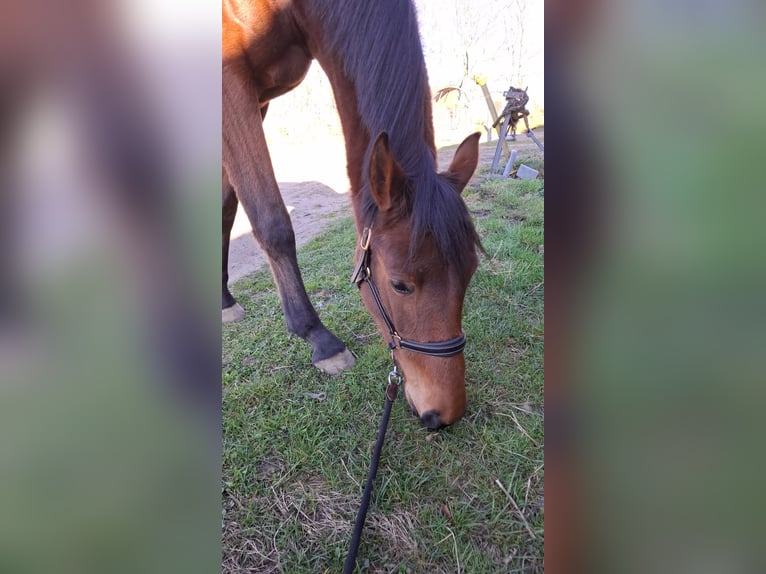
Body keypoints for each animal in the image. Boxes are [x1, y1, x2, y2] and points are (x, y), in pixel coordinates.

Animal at [222, 0, 483, 428]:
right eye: (400, 285)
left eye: (470, 273)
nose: (445, 413)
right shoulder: (231, 82)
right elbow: (270, 220)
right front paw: (319, 338)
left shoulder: (259, 98)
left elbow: (229, 205)